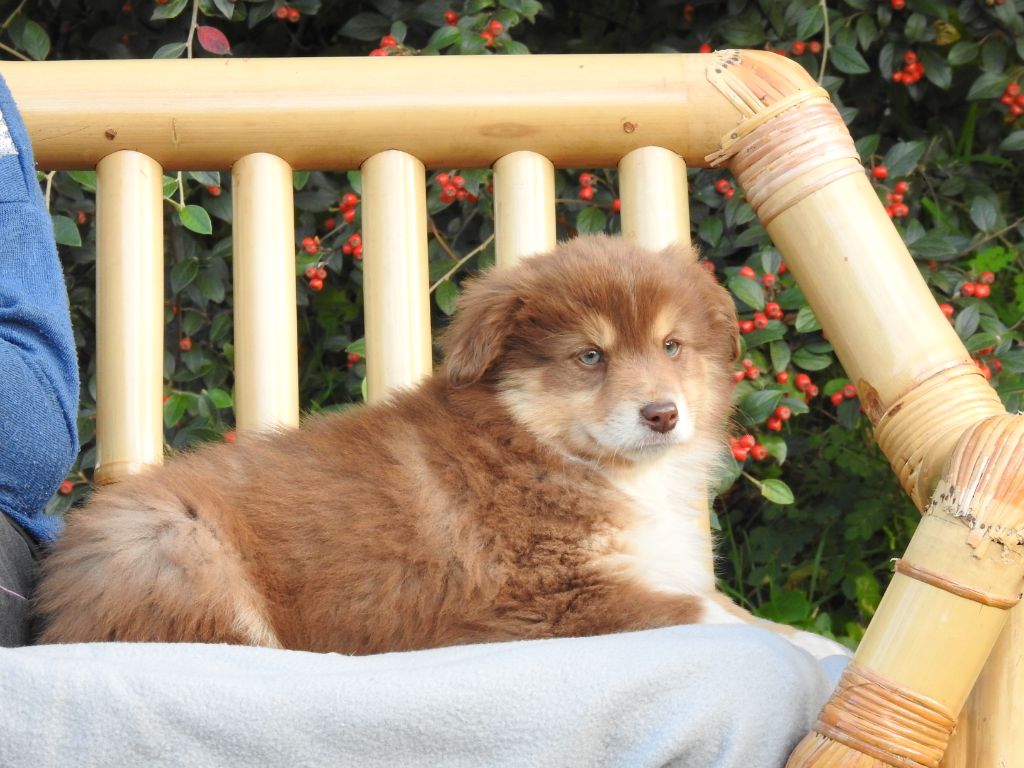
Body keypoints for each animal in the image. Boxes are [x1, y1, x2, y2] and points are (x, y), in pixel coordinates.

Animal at [36, 235, 845, 659]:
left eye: (673, 345)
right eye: (590, 356)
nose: (662, 414)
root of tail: (57, 609)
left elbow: (735, 609)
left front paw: (820, 645)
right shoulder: (542, 601)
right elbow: (710, 616)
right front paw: (809, 652)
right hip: (174, 548)